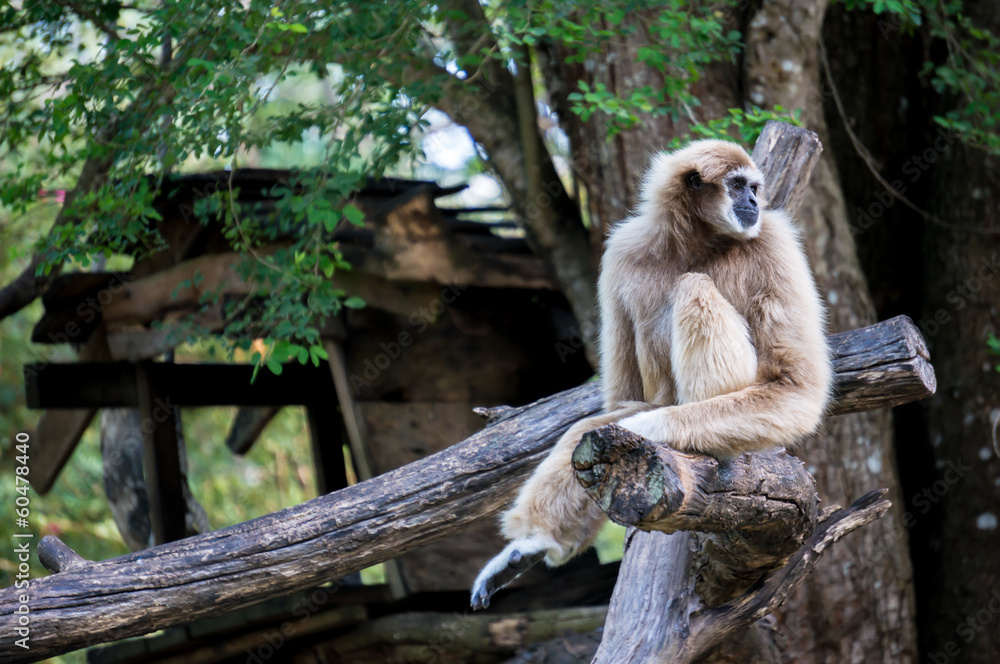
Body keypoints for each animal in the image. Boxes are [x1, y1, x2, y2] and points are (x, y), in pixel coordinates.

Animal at [470, 139, 833, 610]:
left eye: (754, 188)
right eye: (738, 186)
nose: (754, 202)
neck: (697, 242)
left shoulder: (775, 240)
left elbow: (795, 386)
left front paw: (645, 428)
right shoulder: (622, 250)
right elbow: (617, 403)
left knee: (693, 288)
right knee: (588, 430)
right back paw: (533, 545)